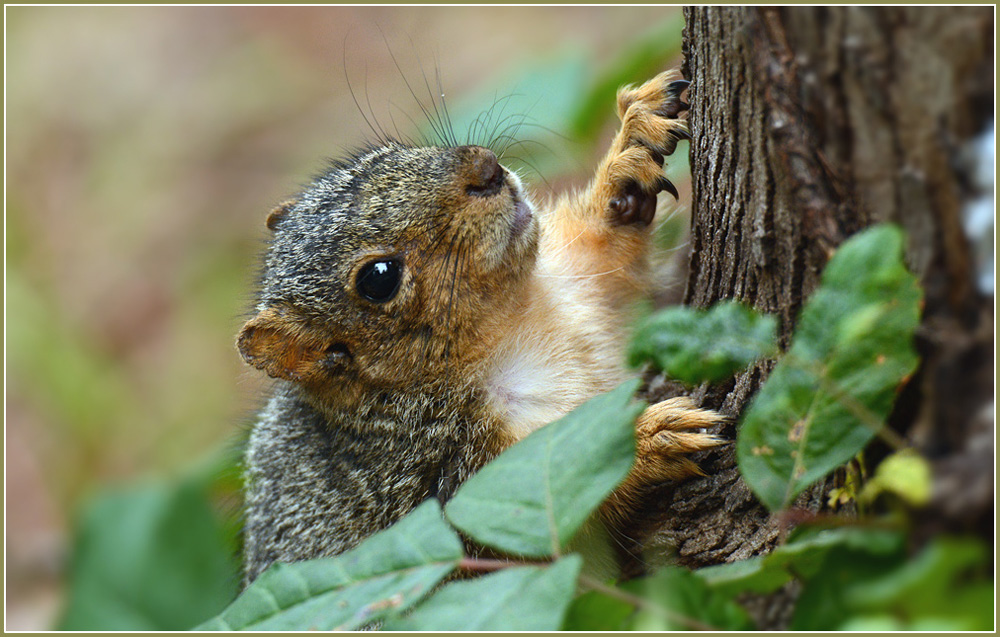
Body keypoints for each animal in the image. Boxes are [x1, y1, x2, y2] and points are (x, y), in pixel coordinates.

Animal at [237, 70, 724, 585]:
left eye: (385, 155)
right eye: (378, 278)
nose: (486, 168)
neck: (516, 319)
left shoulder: (580, 291)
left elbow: (602, 249)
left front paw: (631, 152)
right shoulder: (439, 480)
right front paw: (639, 441)